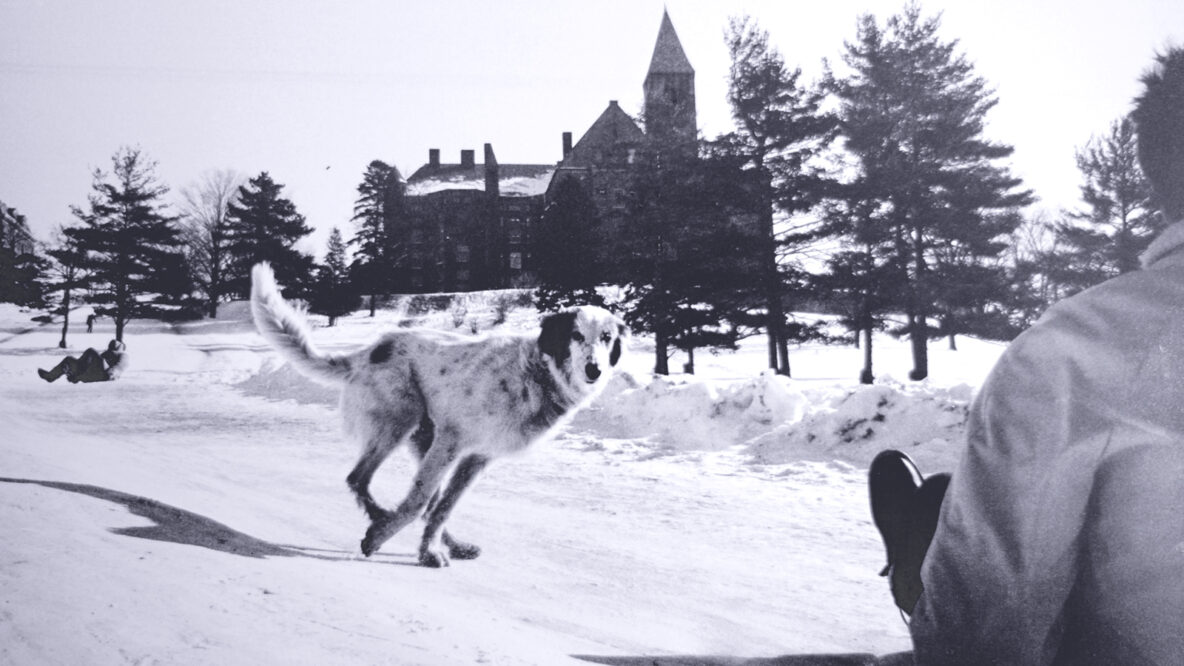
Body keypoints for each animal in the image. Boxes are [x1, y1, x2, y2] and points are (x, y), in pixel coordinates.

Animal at [246, 261, 625, 561]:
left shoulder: (476, 458)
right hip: (399, 423)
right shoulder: (451, 442)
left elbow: (442, 507)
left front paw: (428, 551)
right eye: (575, 335)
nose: (594, 370)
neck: (536, 373)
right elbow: (419, 501)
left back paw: (445, 543)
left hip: (420, 437)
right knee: (360, 479)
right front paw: (383, 538)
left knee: (422, 501)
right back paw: (380, 518)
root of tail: (369, 351)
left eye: (606, 337)